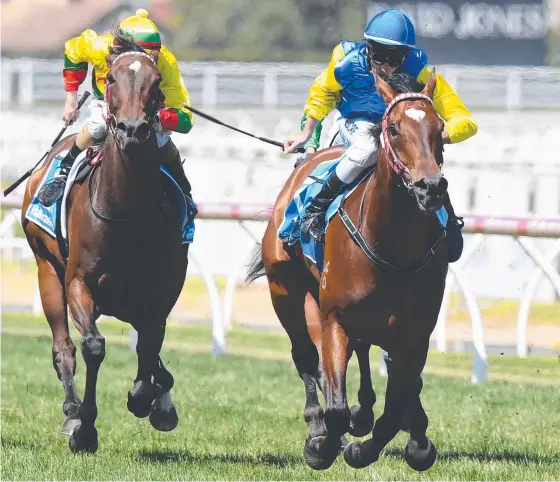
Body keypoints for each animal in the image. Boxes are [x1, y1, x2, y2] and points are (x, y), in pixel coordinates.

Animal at [21, 41, 188, 452]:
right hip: (46, 269)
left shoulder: (160, 292)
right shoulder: (79, 282)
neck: (125, 212)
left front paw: (149, 400)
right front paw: (85, 428)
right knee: (64, 348)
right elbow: (94, 347)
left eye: (156, 81)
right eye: (110, 78)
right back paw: (71, 412)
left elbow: (150, 345)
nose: (132, 129)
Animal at [247, 71, 448, 470]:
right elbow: (337, 406)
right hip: (285, 289)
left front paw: (373, 446)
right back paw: (318, 426)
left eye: (440, 128)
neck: (392, 246)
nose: (430, 187)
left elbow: (395, 408)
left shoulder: (416, 333)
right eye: (394, 128)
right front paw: (324, 445)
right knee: (307, 357)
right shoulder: (335, 317)